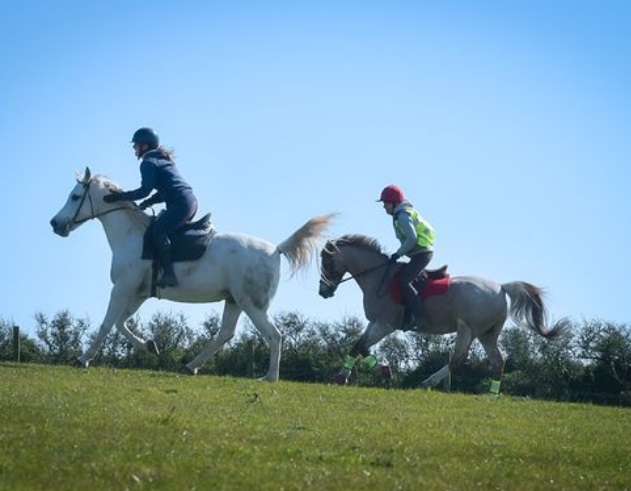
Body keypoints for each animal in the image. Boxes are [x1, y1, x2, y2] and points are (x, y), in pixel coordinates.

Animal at [50, 167, 336, 382]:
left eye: (75, 196)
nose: (55, 224)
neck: (132, 235)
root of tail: (276, 250)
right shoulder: (138, 293)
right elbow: (122, 324)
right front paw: (149, 346)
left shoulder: (121, 288)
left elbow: (108, 324)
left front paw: (83, 359)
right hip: (234, 300)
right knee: (225, 334)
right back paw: (191, 366)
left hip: (253, 304)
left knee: (274, 336)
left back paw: (269, 378)